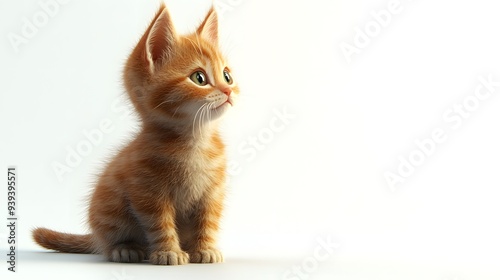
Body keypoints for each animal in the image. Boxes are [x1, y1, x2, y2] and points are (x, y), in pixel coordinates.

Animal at [31, 3, 238, 266]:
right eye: (199, 78)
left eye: (227, 75)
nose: (228, 90)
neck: (195, 141)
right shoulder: (147, 193)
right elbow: (159, 224)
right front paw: (168, 251)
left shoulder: (213, 193)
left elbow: (208, 221)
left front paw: (205, 248)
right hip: (109, 208)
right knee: (110, 240)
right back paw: (125, 249)